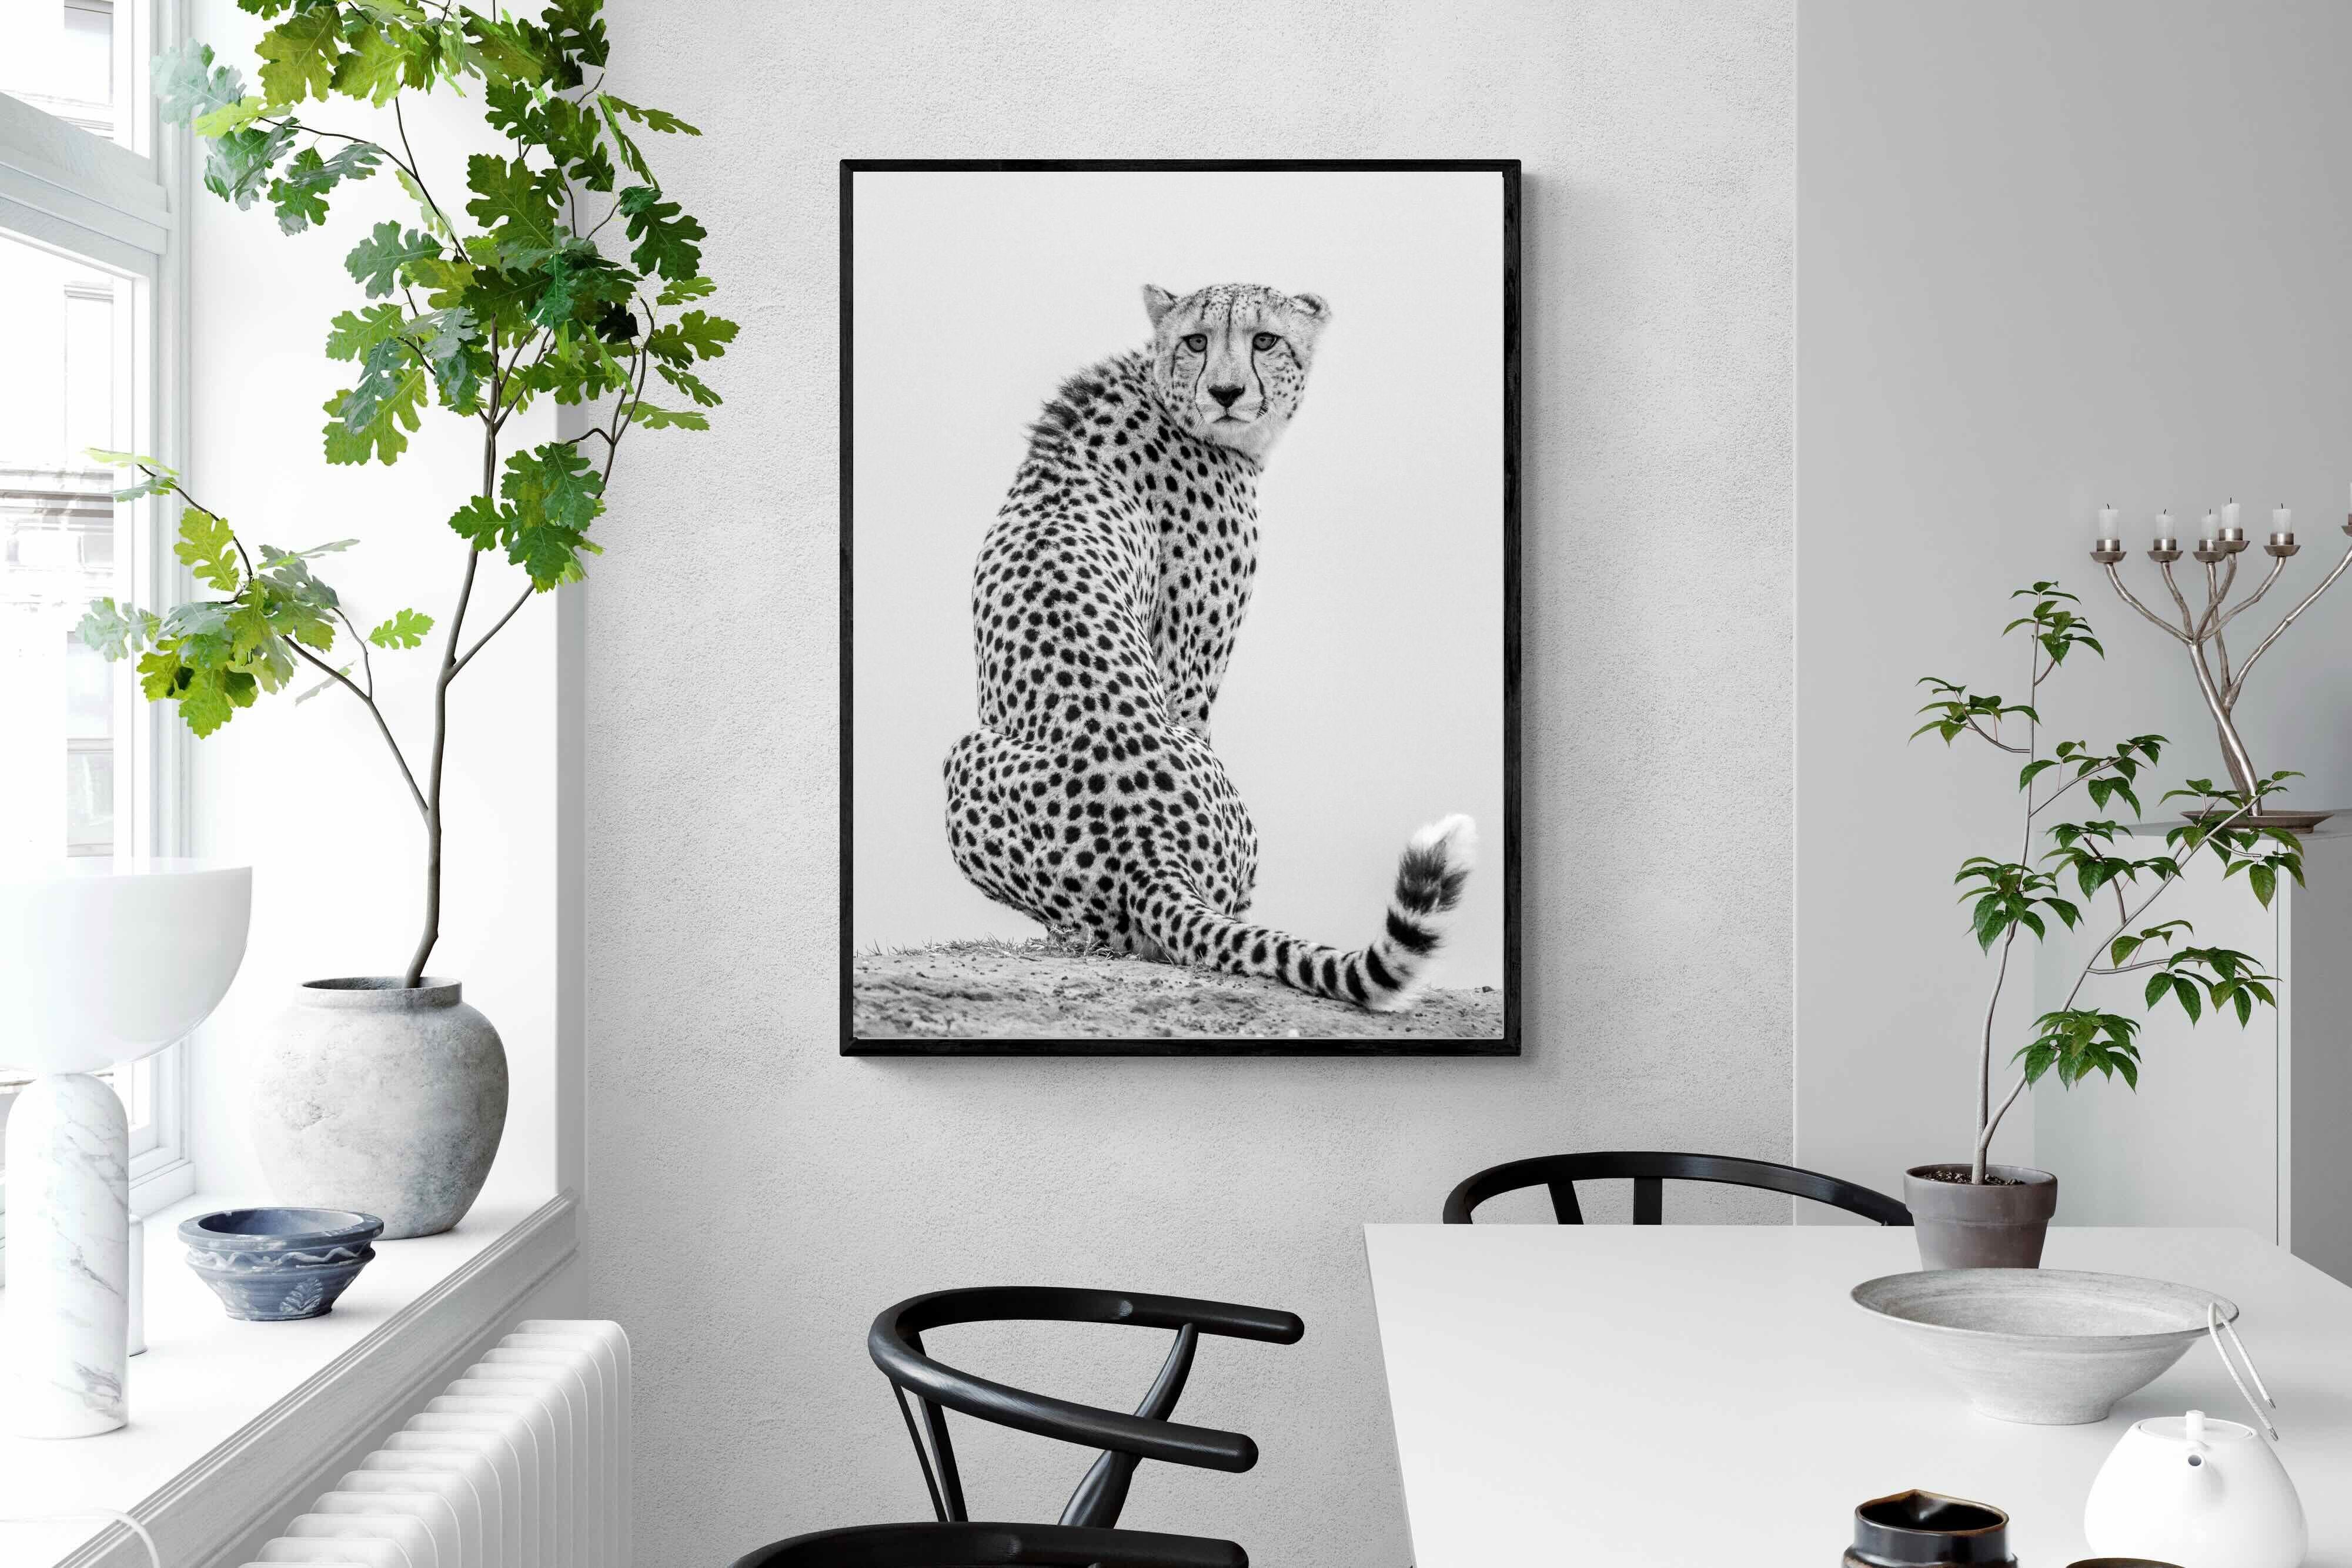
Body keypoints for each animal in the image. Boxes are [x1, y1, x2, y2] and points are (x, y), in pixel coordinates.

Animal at [942, 281, 1476, 1011]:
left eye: (1264, 339)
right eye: (1197, 340)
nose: (1226, 391)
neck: (1161, 393)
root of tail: (1148, 845)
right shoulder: (1188, 669)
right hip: (969, 757)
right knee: (1133, 934)